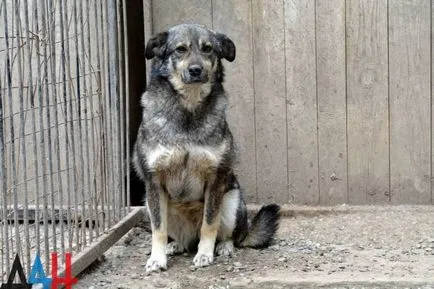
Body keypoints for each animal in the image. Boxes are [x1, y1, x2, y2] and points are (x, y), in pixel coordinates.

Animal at [133, 23, 282, 272]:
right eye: (180, 49)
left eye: (208, 49)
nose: (196, 70)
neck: (189, 109)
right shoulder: (154, 182)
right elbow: (158, 229)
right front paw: (157, 258)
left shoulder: (215, 179)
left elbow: (209, 223)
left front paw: (205, 254)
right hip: (149, 204)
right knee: (180, 239)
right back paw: (175, 246)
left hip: (232, 202)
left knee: (229, 235)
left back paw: (223, 246)